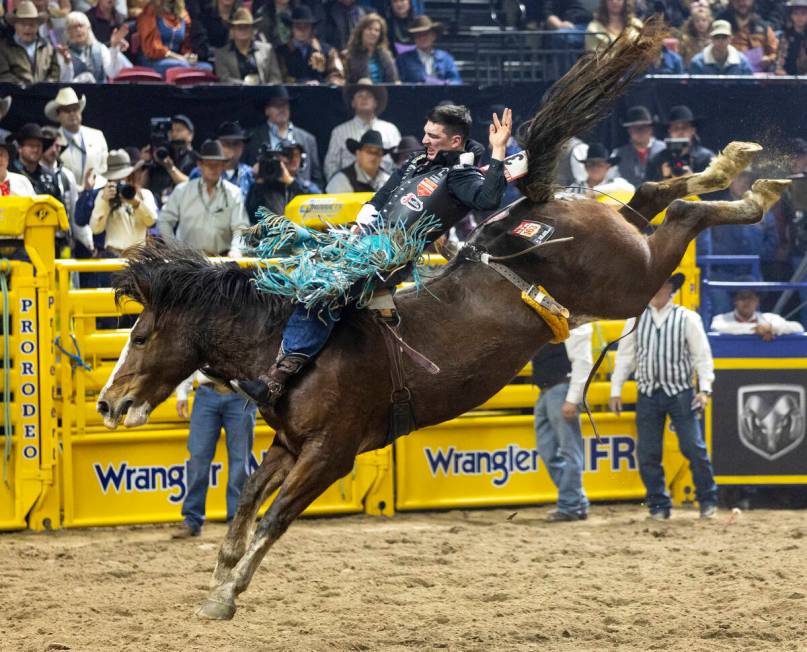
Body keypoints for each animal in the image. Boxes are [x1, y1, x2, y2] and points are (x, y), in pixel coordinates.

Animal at [99, 21, 788, 620]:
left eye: (141, 334)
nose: (108, 403)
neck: (282, 347)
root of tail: (532, 213)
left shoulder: (329, 454)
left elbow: (274, 517)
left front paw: (226, 593)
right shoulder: (288, 444)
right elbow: (244, 499)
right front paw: (220, 580)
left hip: (630, 280)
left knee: (682, 219)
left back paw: (753, 186)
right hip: (621, 243)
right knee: (648, 198)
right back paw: (730, 168)